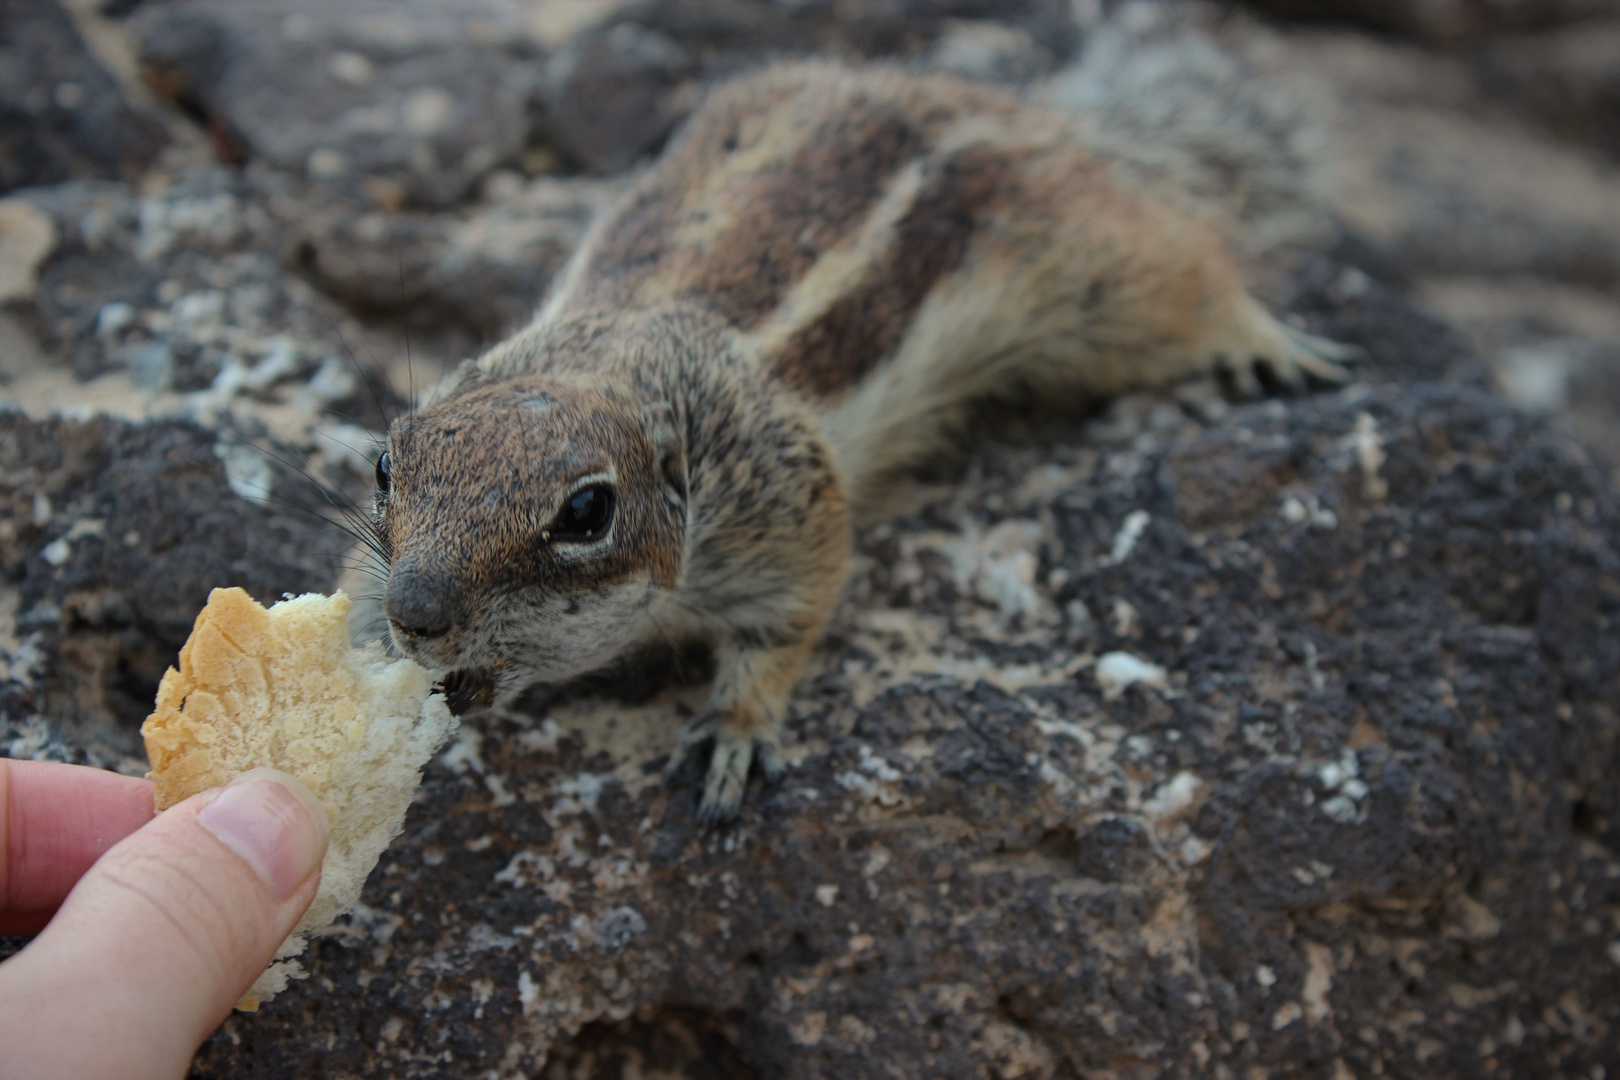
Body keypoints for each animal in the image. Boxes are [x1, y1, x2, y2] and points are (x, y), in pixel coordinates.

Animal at [370, 59, 1341, 819]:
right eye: (385, 463)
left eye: (585, 513)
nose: (413, 612)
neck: (612, 372)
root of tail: (1015, 106)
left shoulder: (791, 509)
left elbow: (792, 620)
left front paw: (735, 728)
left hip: (1091, 272)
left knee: (1187, 267)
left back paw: (1266, 338)